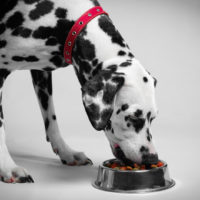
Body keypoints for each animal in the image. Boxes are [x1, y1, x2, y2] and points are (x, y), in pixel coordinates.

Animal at [0, 0, 159, 183]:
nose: (152, 158)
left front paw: (66, 152)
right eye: (132, 117)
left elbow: (51, 118)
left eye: (153, 118)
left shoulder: (41, 72)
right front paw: (8, 167)